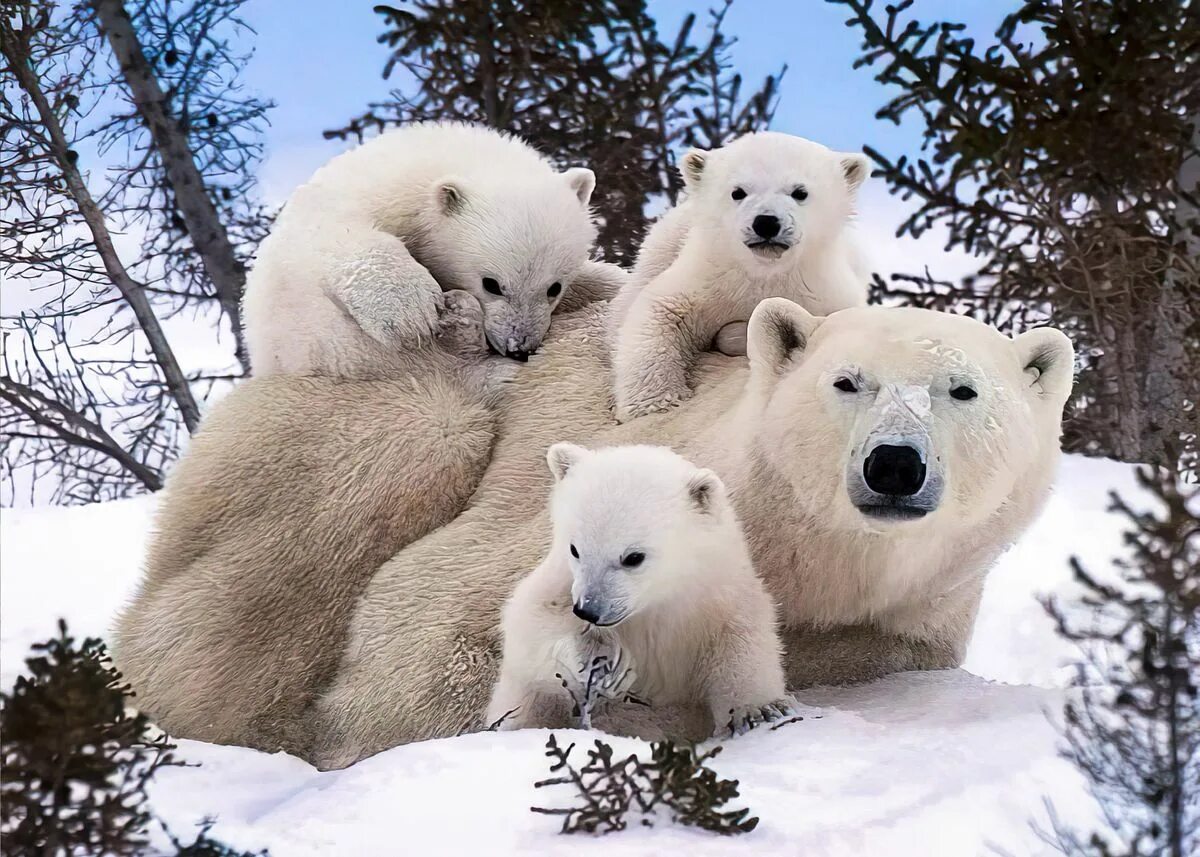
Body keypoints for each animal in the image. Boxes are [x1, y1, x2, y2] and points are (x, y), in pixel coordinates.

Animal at [482, 441, 792, 734]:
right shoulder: (558, 582)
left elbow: (742, 643)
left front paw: (759, 710)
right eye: (574, 549)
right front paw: (596, 660)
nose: (589, 610)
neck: (654, 606)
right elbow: (529, 621)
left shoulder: (718, 597)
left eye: (633, 557)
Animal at [614, 129, 868, 417]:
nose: (766, 222)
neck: (765, 272)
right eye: (738, 192)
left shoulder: (823, 291)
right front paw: (657, 402)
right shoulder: (709, 278)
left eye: (800, 192)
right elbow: (661, 311)